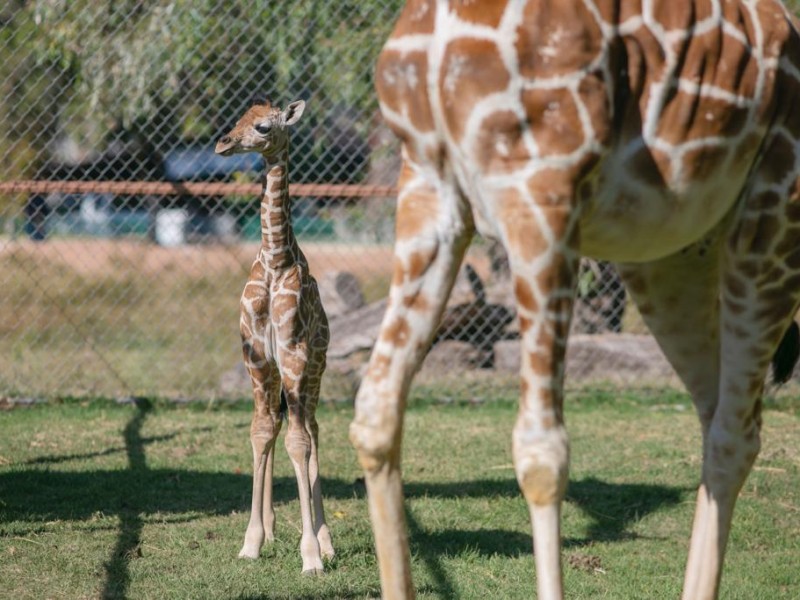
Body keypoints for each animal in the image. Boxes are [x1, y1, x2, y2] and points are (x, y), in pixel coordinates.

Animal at [354, 0, 800, 596]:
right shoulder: (430, 188)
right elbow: (376, 415)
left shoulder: (541, 194)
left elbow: (542, 453)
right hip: (671, 256)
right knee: (722, 422)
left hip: (773, 220)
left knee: (735, 430)